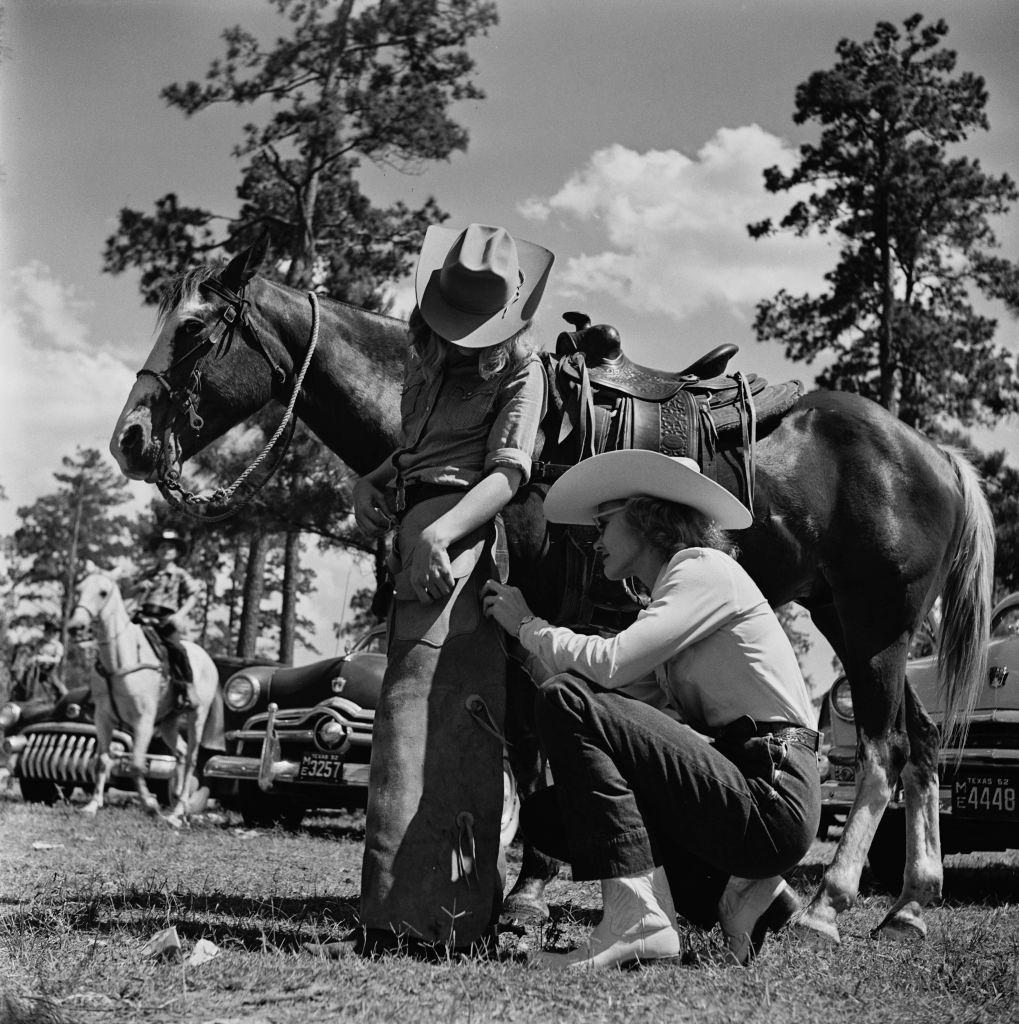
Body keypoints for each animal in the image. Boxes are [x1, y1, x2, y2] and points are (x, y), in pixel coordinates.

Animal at [67, 573, 223, 827]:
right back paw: (177, 802)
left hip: (197, 716)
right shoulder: (103, 717)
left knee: (191, 758)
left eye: (103, 592)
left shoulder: (144, 720)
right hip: (169, 721)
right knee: (181, 752)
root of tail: (208, 658)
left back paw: (178, 811)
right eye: (79, 589)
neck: (120, 659)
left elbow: (137, 764)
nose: (76, 626)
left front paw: (150, 805)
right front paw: (91, 806)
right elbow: (102, 760)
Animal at [111, 243, 995, 946]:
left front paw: (528, 895)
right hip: (853, 623)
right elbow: (520, 754)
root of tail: (932, 453)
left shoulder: (526, 618)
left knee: (880, 751)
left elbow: (532, 750)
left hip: (875, 625)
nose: (129, 440)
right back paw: (908, 905)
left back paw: (825, 905)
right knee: (920, 745)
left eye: (193, 329)